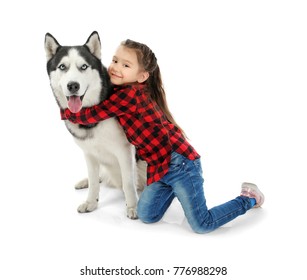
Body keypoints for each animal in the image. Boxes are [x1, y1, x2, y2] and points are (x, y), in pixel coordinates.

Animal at [45, 31, 146, 219]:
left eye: (84, 66)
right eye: (62, 67)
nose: (73, 85)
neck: (90, 116)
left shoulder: (125, 151)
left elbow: (128, 183)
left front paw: (133, 207)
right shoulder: (89, 153)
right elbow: (93, 182)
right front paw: (91, 202)